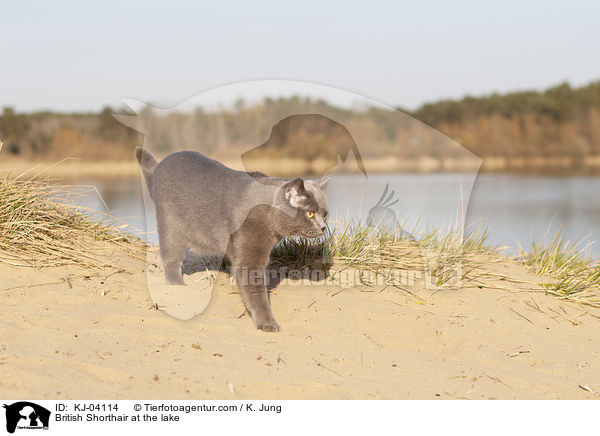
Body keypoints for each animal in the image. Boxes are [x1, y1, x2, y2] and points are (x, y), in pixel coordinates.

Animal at [135, 148, 328, 332]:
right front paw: (267, 323)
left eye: (325, 214)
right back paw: (177, 283)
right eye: (310, 214)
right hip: (171, 224)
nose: (323, 227)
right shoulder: (251, 251)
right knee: (171, 257)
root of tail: (161, 166)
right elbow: (254, 288)